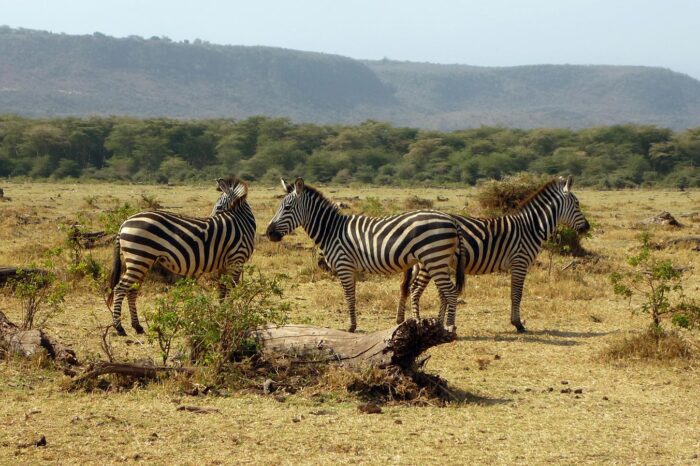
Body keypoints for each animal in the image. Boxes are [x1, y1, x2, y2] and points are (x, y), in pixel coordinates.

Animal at [107, 177, 256, 336]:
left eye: (219, 207)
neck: (241, 223)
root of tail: (124, 222)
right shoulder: (237, 260)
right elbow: (232, 289)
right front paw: (231, 315)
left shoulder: (225, 264)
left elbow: (222, 289)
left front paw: (222, 315)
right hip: (139, 259)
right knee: (120, 288)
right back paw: (119, 328)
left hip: (141, 261)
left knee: (132, 290)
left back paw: (137, 326)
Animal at [266, 178, 466, 333]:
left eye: (288, 208)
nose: (269, 233)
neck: (332, 230)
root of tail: (452, 219)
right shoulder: (350, 268)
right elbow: (352, 295)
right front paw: (353, 324)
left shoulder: (344, 265)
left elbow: (349, 296)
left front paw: (351, 326)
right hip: (438, 261)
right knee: (444, 291)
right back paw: (439, 325)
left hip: (434, 258)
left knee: (451, 291)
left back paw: (450, 326)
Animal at [396, 176, 590, 333]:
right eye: (577, 204)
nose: (587, 228)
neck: (530, 228)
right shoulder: (520, 262)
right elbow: (516, 294)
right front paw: (518, 324)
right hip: (430, 260)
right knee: (416, 289)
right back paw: (417, 322)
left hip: (429, 263)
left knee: (412, 287)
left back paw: (405, 321)